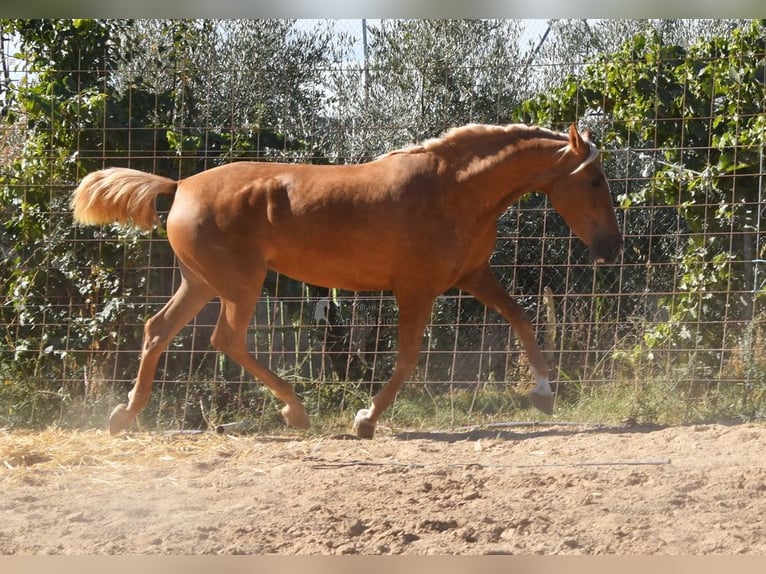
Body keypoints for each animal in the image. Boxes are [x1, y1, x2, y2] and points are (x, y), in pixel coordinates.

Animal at [70, 124, 624, 438]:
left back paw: (124, 416)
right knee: (225, 338)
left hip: (202, 283)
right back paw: (295, 412)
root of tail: (180, 184)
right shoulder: (416, 289)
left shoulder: (472, 275)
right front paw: (365, 421)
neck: (451, 189)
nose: (613, 248)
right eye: (594, 180)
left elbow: (521, 316)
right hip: (239, 285)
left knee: (157, 331)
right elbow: (406, 360)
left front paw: (543, 393)